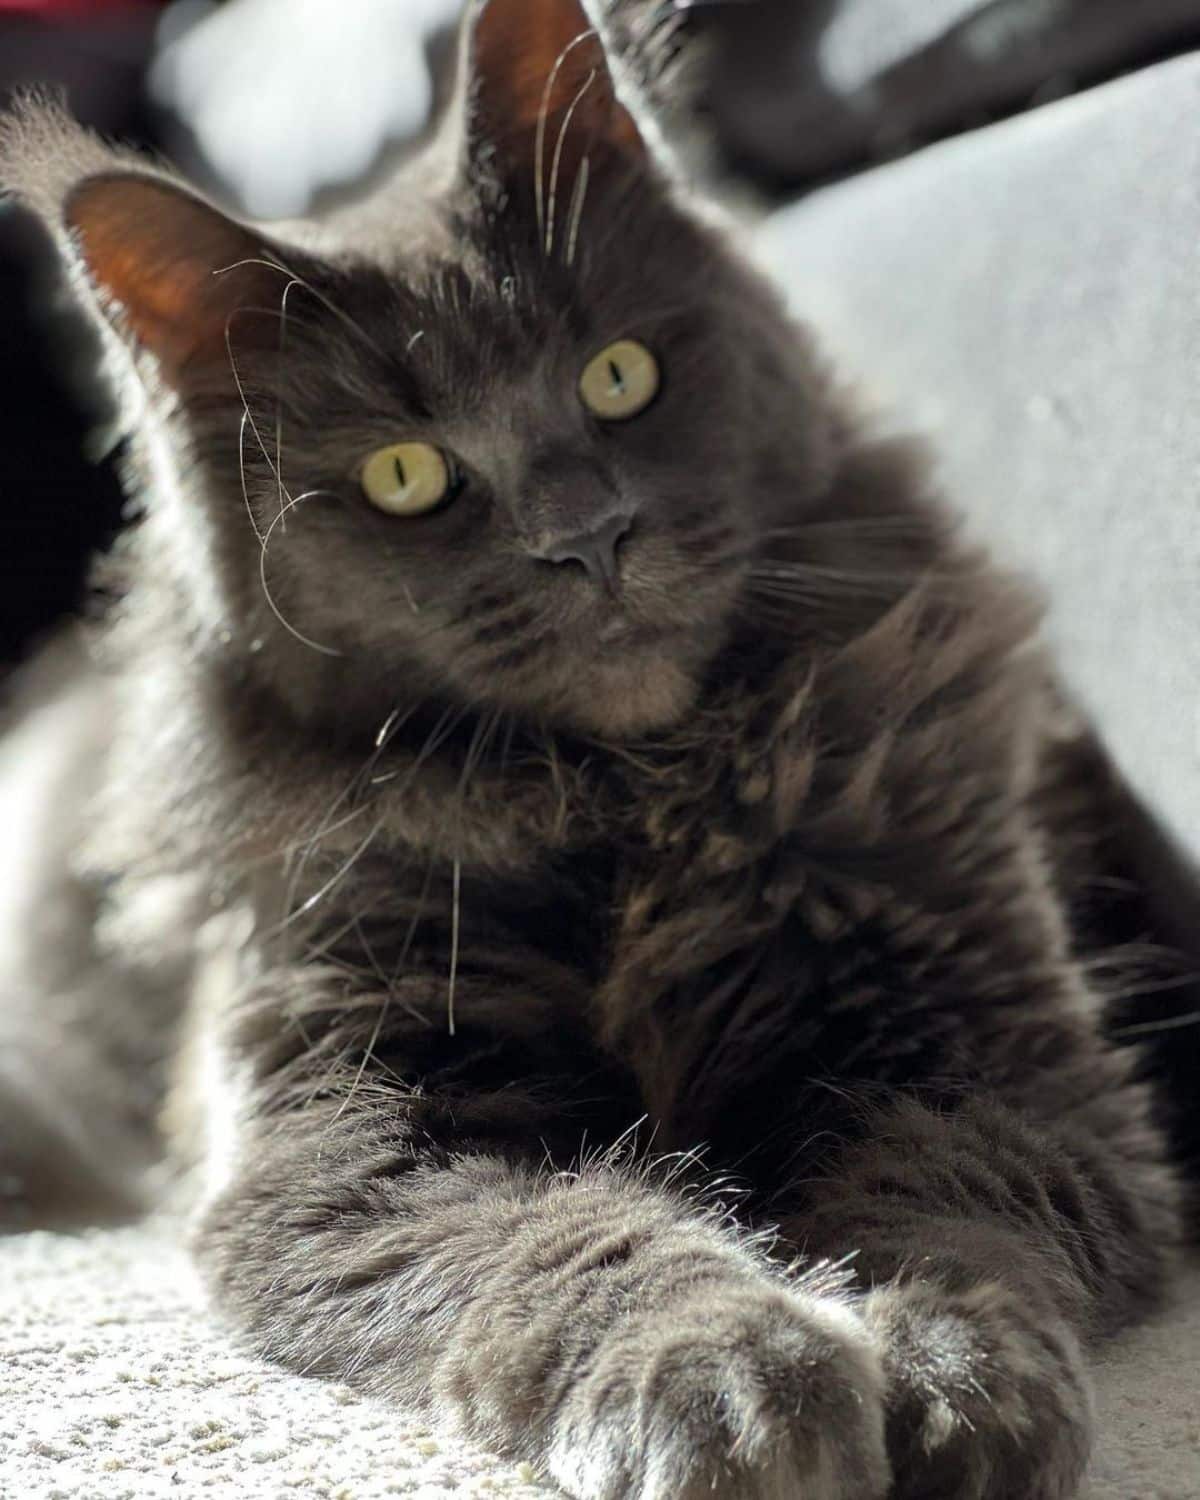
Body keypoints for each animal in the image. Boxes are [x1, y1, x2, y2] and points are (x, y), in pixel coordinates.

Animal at [0, 2, 1182, 1500]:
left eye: (618, 376)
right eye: (404, 476)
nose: (588, 539)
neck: (633, 797)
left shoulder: (973, 1032)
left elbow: (948, 1216)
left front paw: (953, 1379)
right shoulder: (358, 1121)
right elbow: (574, 1242)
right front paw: (735, 1376)